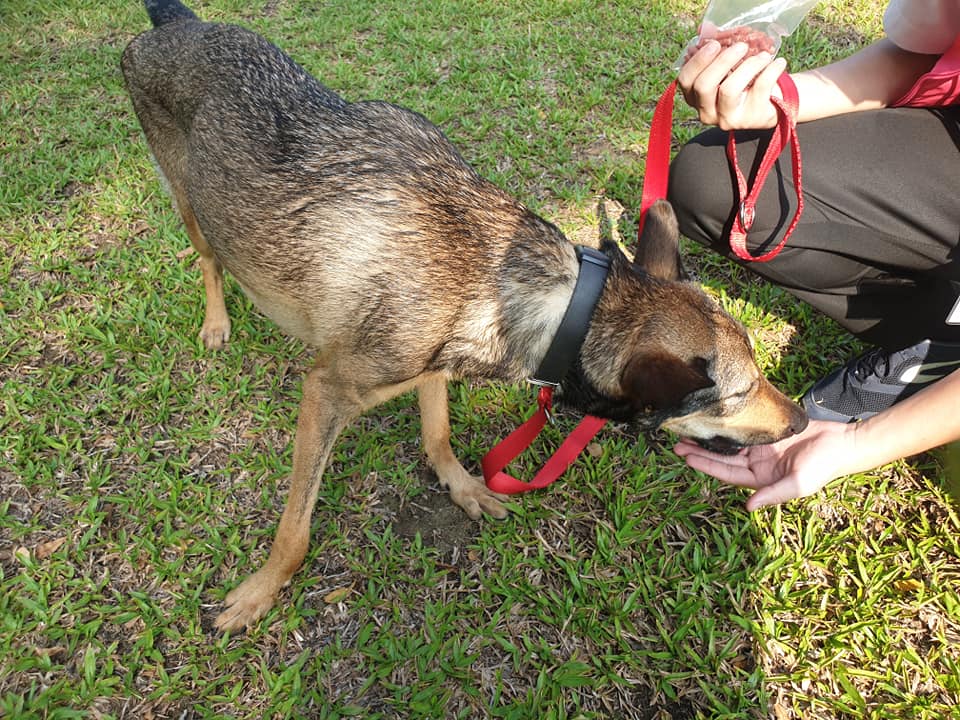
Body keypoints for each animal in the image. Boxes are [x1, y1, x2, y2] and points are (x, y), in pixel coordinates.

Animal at [122, 0, 808, 632]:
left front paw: (464, 487)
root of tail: (174, 24)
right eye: (735, 393)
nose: (803, 420)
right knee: (207, 262)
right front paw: (261, 592)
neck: (537, 294)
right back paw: (216, 324)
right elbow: (296, 532)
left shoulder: (435, 366)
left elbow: (439, 434)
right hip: (192, 207)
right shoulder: (326, 393)